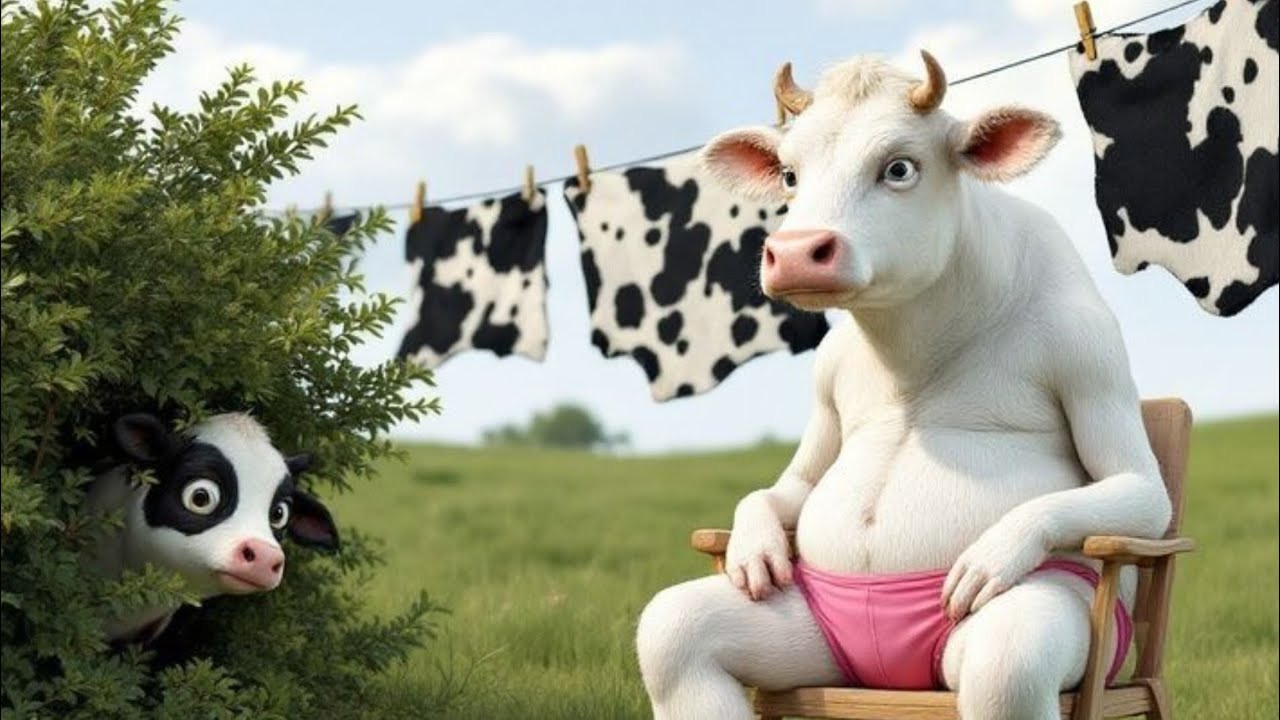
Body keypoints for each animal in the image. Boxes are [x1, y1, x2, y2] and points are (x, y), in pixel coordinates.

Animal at [635, 51, 1172, 720]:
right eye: (789, 175)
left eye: (898, 168)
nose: (796, 252)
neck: (914, 340)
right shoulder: (824, 380)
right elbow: (792, 486)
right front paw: (754, 542)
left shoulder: (1090, 354)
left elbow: (1139, 489)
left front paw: (997, 549)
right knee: (674, 634)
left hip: (1044, 649)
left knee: (1008, 663)